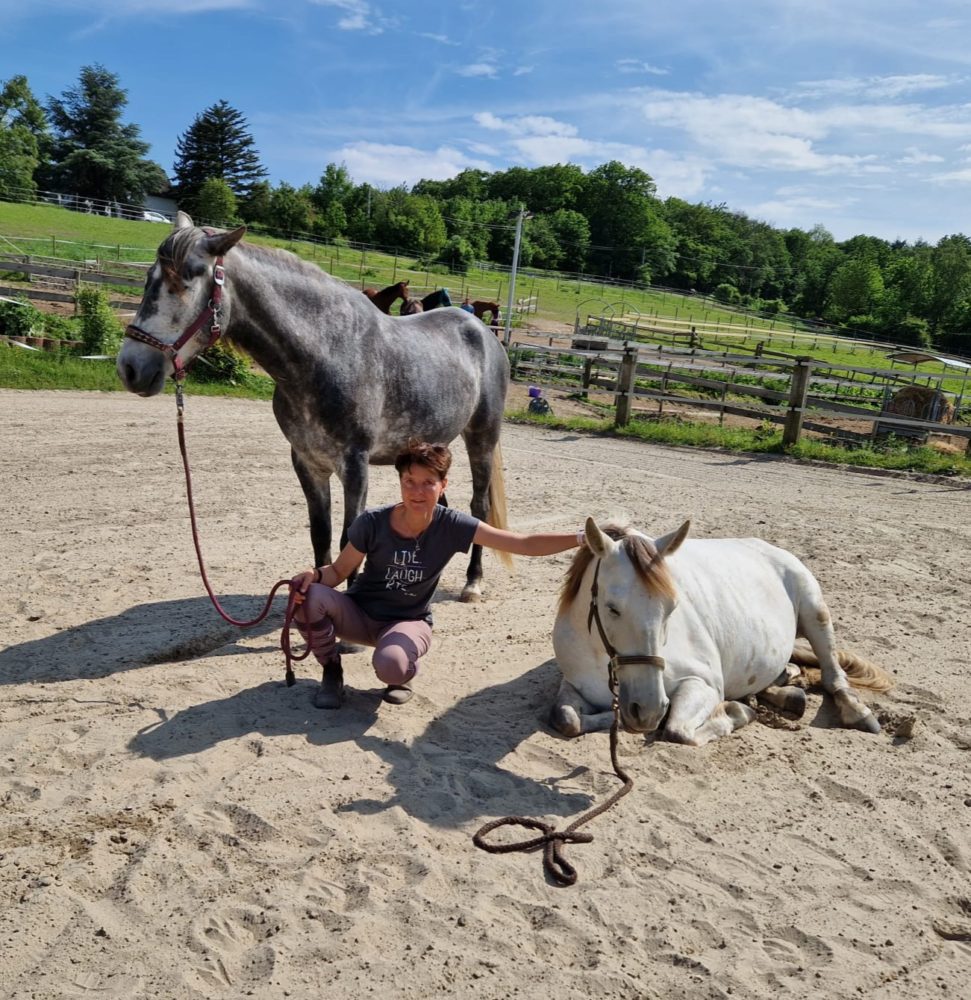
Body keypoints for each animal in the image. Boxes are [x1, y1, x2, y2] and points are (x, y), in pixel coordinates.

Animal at [117, 213, 512, 600]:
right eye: (149, 278)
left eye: (186, 279)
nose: (131, 368)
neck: (326, 353)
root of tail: (483, 331)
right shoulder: (308, 462)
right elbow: (320, 535)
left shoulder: (355, 464)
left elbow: (349, 537)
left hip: (481, 438)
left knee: (479, 507)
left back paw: (473, 582)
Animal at [552, 524, 892, 744]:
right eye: (612, 608)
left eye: (672, 607)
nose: (646, 710)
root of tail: (770, 548)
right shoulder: (574, 686)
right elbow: (567, 719)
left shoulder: (703, 683)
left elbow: (677, 731)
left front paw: (736, 712)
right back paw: (786, 691)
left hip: (815, 611)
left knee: (833, 672)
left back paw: (856, 712)